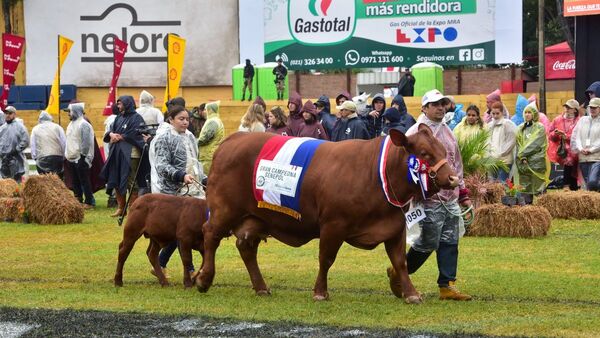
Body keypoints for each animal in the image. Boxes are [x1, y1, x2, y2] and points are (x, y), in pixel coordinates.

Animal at [199, 126, 458, 304]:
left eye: (443, 150)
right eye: (424, 153)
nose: (454, 178)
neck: (376, 174)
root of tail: (233, 139)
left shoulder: (394, 226)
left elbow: (400, 261)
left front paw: (411, 293)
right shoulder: (333, 225)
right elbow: (326, 259)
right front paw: (320, 292)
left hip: (255, 218)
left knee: (246, 248)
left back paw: (261, 287)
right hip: (224, 210)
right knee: (210, 235)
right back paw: (204, 279)